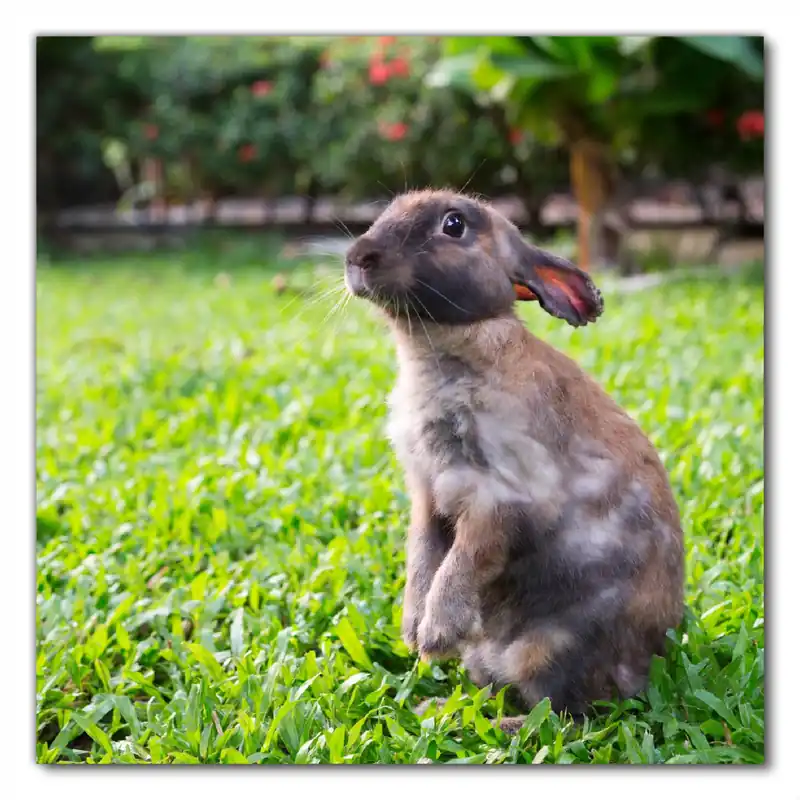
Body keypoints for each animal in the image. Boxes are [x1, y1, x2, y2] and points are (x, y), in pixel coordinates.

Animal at [343, 189, 684, 732]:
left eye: (454, 225)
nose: (357, 258)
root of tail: (643, 668)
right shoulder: (427, 496)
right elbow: (422, 554)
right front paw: (412, 630)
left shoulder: (498, 498)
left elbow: (465, 558)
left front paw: (434, 635)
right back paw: (438, 711)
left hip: (550, 651)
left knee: (563, 716)